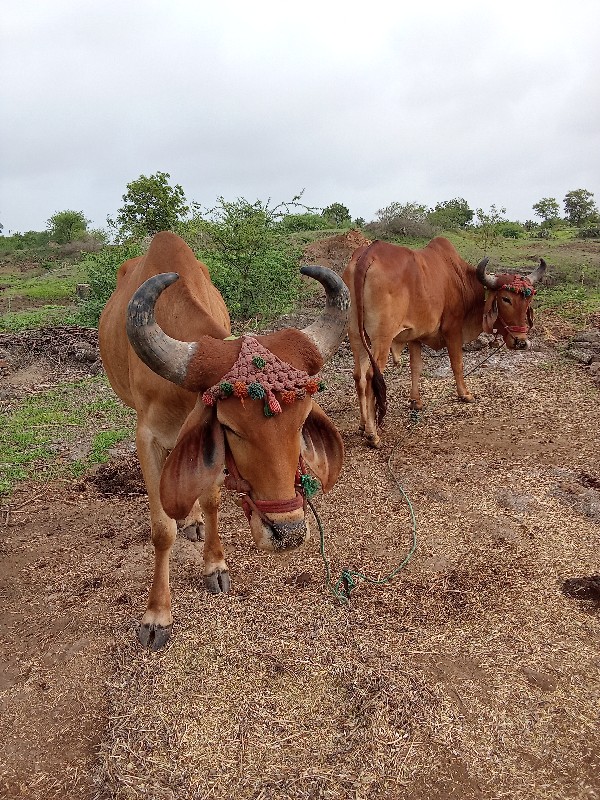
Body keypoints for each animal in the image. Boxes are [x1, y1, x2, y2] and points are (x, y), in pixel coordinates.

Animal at [99, 228, 350, 648]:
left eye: (301, 422)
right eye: (232, 427)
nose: (288, 534)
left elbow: (212, 500)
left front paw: (214, 564)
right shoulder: (147, 438)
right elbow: (161, 529)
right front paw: (157, 615)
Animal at [342, 238, 544, 446]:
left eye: (529, 298)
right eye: (506, 299)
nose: (521, 342)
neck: (461, 278)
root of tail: (368, 255)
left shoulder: (414, 335)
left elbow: (416, 367)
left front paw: (416, 402)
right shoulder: (453, 328)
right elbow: (457, 364)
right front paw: (465, 394)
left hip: (356, 335)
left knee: (359, 376)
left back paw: (363, 425)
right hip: (381, 339)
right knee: (372, 377)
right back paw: (372, 434)